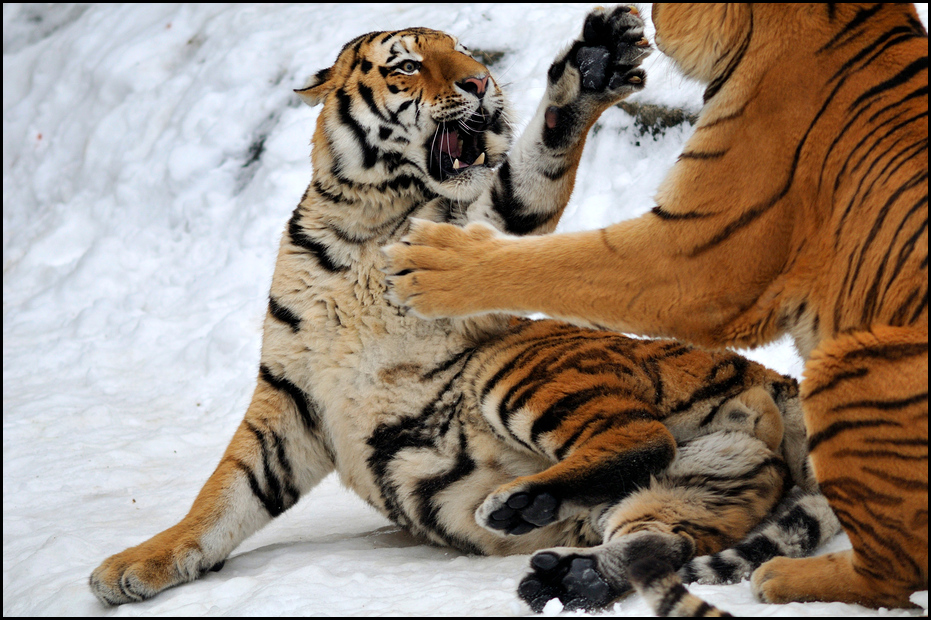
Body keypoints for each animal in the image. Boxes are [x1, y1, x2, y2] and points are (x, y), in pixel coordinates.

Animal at [89, 7, 839, 615]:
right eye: (408, 65)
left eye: (466, 54)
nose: (482, 83)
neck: (372, 217)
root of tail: (771, 380)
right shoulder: (291, 393)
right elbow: (222, 497)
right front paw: (135, 566)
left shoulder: (487, 234)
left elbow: (527, 175)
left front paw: (592, 65)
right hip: (710, 480)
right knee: (658, 537)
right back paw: (574, 573)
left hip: (523, 370)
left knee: (641, 436)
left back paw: (517, 504)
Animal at [384, 2, 929, 610]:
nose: (651, 16)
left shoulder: (697, 259)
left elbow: (562, 260)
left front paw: (433, 261)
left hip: (842, 363)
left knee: (892, 572)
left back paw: (786, 577)